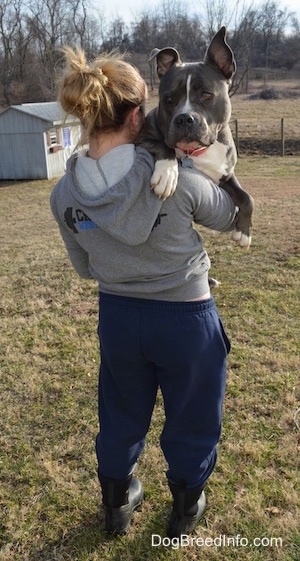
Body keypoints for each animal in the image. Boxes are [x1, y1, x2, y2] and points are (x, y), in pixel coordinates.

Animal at [138, 24, 253, 247]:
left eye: (207, 95)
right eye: (168, 99)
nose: (184, 118)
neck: (195, 152)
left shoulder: (225, 174)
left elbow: (246, 196)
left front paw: (244, 232)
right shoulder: (140, 138)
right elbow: (163, 145)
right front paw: (167, 174)